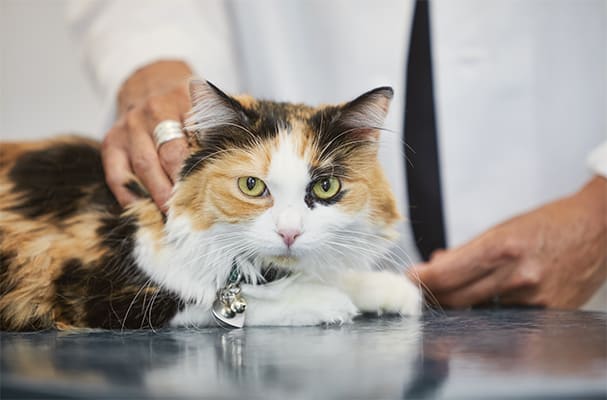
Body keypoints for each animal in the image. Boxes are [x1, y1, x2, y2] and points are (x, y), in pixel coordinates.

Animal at [0, 81, 420, 332]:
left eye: (326, 186)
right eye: (252, 185)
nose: (289, 232)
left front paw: (388, 289)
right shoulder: (96, 293)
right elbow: (216, 303)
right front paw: (322, 301)